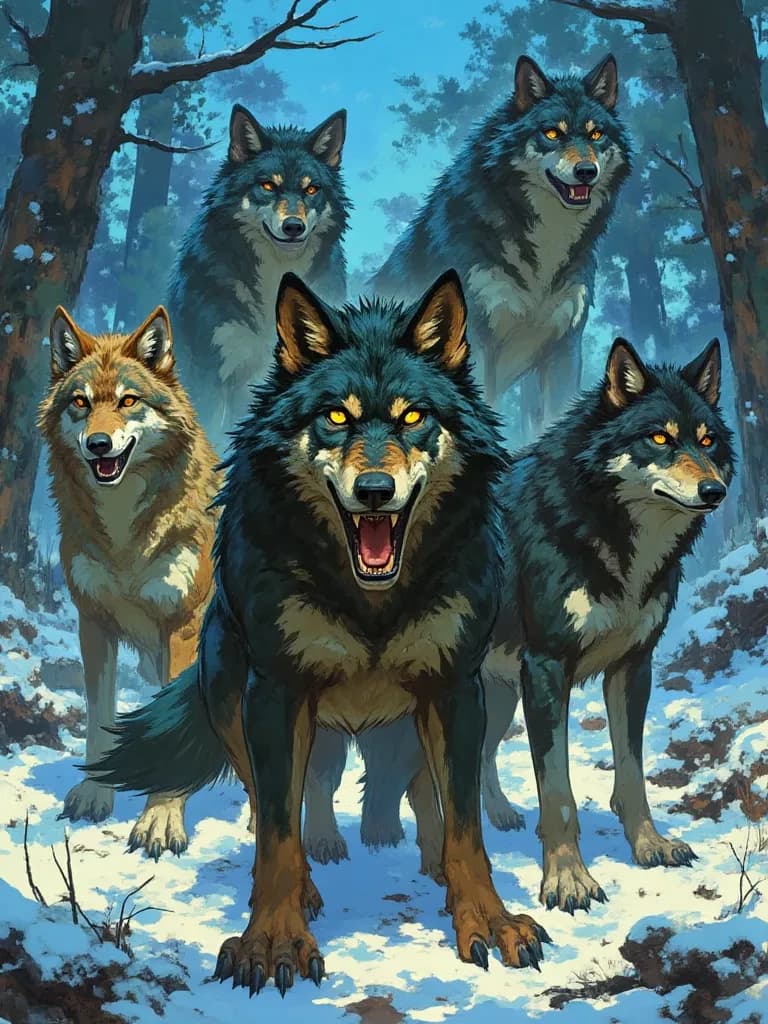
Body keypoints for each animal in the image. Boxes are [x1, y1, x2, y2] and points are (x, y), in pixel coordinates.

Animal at [37, 306, 220, 858]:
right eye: (80, 403)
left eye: (128, 400)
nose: (98, 443)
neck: (124, 538)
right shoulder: (93, 623)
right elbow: (99, 716)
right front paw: (96, 793)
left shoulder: (182, 627)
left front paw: (160, 819)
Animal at [90, 269, 551, 994]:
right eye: (335, 417)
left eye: (414, 417)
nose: (375, 489)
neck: (371, 604)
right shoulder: (274, 695)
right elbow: (280, 830)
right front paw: (274, 941)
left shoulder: (456, 689)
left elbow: (466, 824)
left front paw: (486, 919)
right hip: (231, 698)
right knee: (277, 803)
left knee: (419, 795)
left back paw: (431, 868)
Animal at [358, 336, 734, 913]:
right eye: (660, 438)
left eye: (708, 440)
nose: (715, 491)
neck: (611, 538)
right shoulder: (547, 670)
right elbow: (558, 793)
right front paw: (568, 880)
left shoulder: (633, 668)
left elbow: (632, 774)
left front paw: (649, 845)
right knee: (422, 781)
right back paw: (439, 863)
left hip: (495, 698)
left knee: (471, 763)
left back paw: (496, 818)